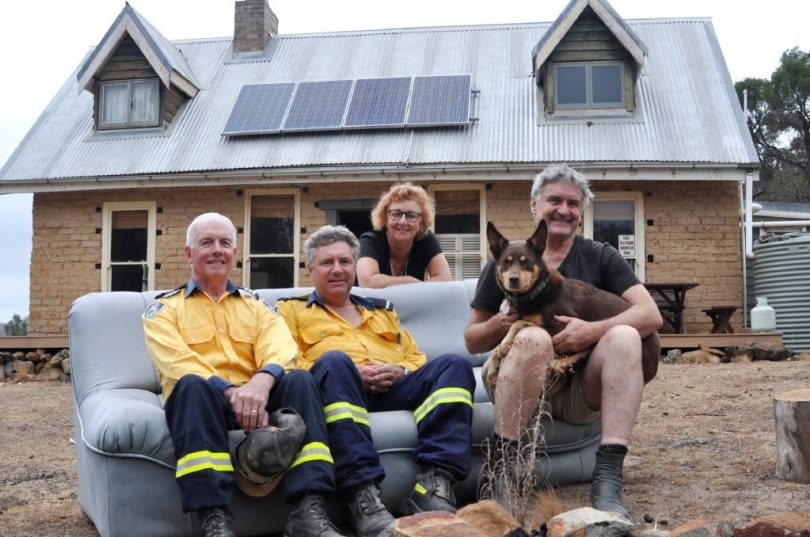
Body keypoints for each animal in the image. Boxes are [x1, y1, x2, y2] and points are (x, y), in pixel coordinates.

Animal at [482, 220, 660, 392]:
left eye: (527, 262)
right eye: (505, 262)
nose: (513, 279)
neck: (537, 292)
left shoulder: (562, 327)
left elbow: (519, 323)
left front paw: (504, 346)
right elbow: (502, 342)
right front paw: (493, 366)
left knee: (587, 348)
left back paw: (560, 363)